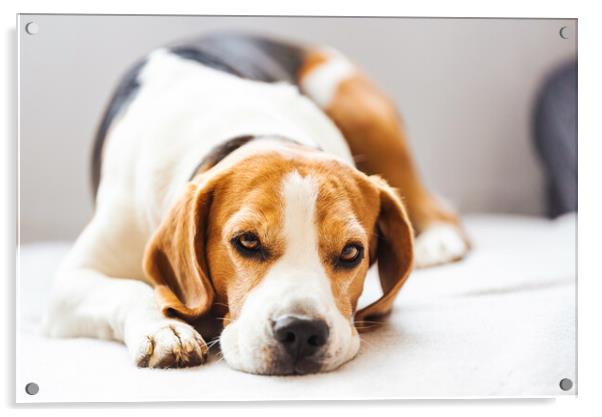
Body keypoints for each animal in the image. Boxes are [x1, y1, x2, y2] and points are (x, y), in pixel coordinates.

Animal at [43, 32, 468, 374]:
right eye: (246, 241)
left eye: (351, 252)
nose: (301, 331)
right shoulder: (70, 281)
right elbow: (130, 289)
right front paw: (165, 330)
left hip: (350, 102)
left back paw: (438, 239)